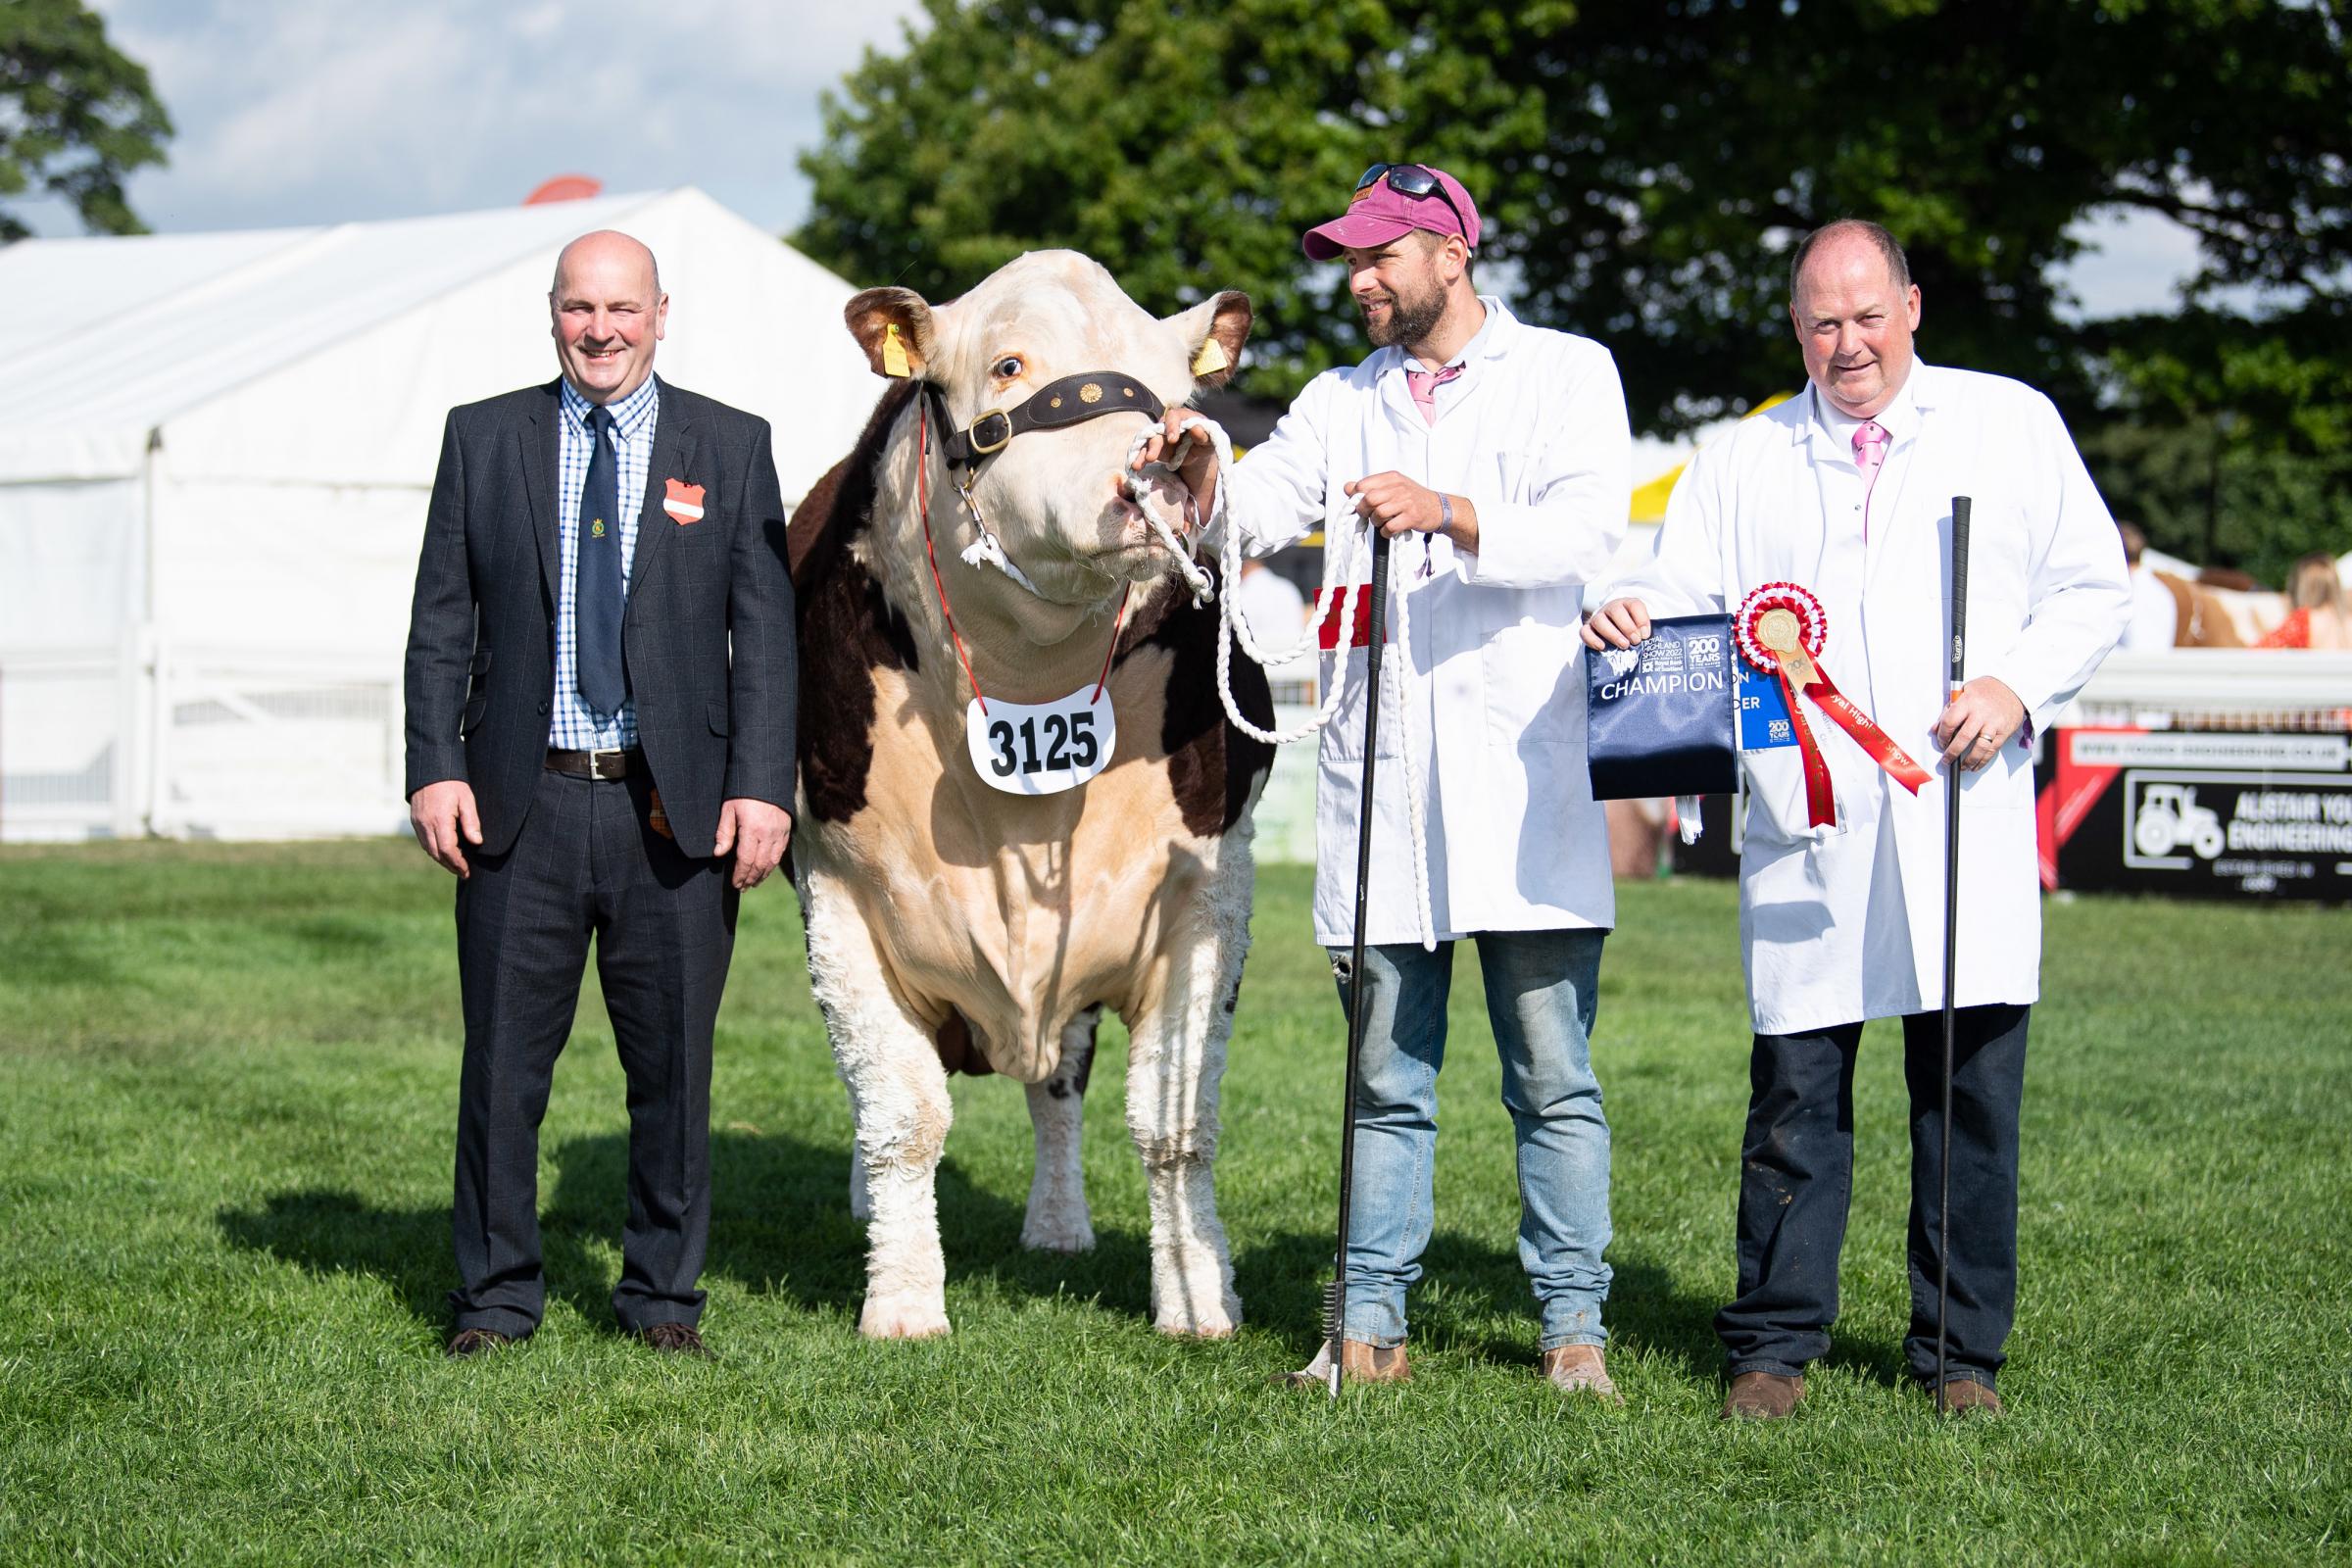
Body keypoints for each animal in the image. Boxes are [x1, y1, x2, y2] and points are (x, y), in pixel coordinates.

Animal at [785, 255, 1270, 1335]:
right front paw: (903, 1302)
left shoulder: (1206, 895)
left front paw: (1198, 1296)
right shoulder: (838, 892)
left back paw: (1056, 1225)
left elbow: (1175, 1121)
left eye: (1177, 380)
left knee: (1059, 1084)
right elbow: (900, 1112)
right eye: (1008, 363)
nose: (1170, 453)